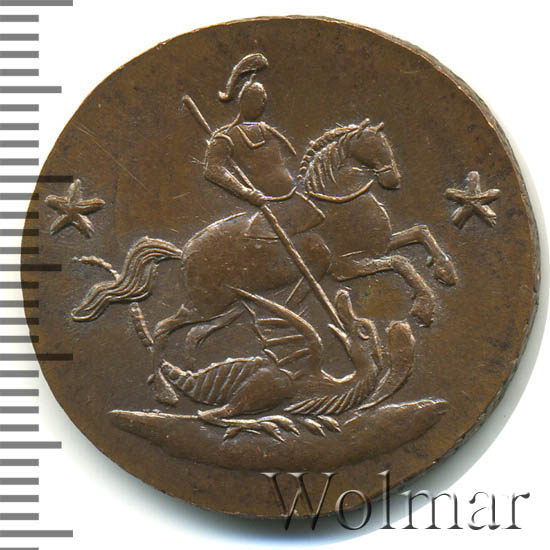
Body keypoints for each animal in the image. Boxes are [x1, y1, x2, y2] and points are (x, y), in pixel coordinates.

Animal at [72, 118, 457, 404]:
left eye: (386, 144)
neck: (338, 207)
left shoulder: (372, 250)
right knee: (163, 329)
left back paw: (198, 379)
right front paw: (423, 308)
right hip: (207, 302)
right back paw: (170, 392)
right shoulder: (345, 268)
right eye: (371, 146)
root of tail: (186, 251)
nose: (393, 179)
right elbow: (402, 263)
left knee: (193, 335)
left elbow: (419, 233)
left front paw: (445, 272)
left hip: (228, 306)